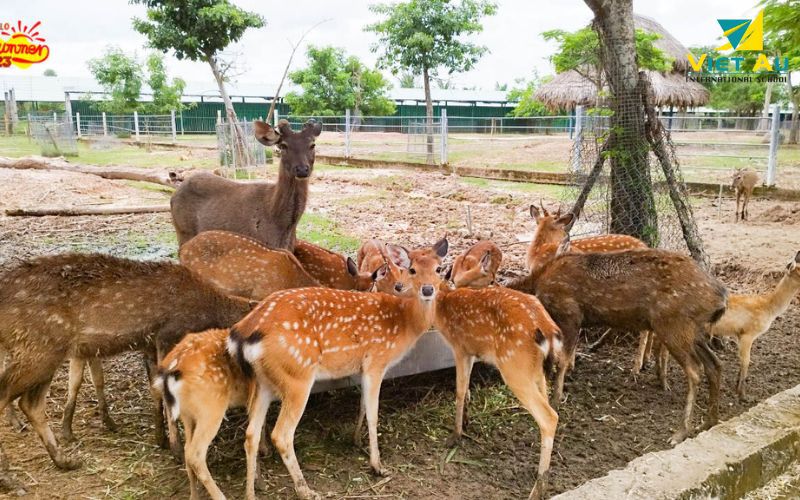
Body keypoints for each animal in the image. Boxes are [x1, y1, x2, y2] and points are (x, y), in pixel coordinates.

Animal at [0, 254, 253, 484]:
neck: (211, 309)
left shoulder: (150, 344)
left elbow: (155, 390)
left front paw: (160, 438)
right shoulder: (168, 335)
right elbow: (167, 395)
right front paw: (176, 450)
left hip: (48, 352)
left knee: (31, 404)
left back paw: (64, 460)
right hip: (37, 348)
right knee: (9, 394)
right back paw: (9, 476)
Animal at [228, 240, 446, 498]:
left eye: (439, 269)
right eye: (412, 269)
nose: (428, 290)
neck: (404, 323)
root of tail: (243, 334)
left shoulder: (362, 367)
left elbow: (362, 406)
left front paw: (356, 441)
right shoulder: (376, 360)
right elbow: (373, 414)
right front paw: (378, 466)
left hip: (263, 383)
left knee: (250, 434)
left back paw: (252, 490)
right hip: (297, 376)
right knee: (281, 434)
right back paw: (306, 490)